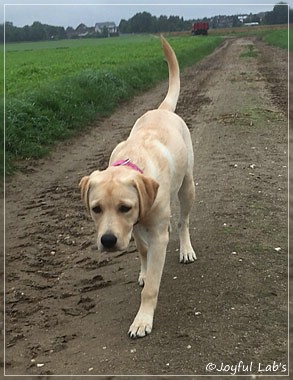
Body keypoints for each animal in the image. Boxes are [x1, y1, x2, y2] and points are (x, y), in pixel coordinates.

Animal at [78, 36, 195, 338]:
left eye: (125, 207)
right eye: (96, 209)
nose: (107, 241)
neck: (133, 163)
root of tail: (162, 109)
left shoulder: (153, 232)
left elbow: (152, 286)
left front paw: (142, 320)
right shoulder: (136, 229)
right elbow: (142, 252)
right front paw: (143, 271)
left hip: (188, 187)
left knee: (183, 221)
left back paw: (186, 248)